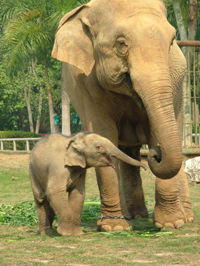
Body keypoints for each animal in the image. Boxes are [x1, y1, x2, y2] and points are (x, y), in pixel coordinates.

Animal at [52, 0, 194, 231]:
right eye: (121, 44)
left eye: (172, 41)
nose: (155, 153)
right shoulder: (86, 83)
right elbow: (103, 134)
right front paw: (114, 227)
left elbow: (157, 129)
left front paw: (171, 223)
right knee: (128, 152)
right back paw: (134, 216)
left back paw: (186, 217)